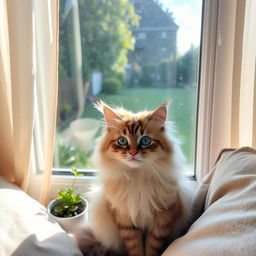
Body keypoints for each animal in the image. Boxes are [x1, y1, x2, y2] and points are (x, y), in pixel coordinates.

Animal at [78, 101, 192, 256]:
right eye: (122, 141)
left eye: (145, 140)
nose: (133, 153)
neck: (137, 178)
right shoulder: (126, 222)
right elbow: (136, 248)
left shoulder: (161, 222)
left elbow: (151, 249)